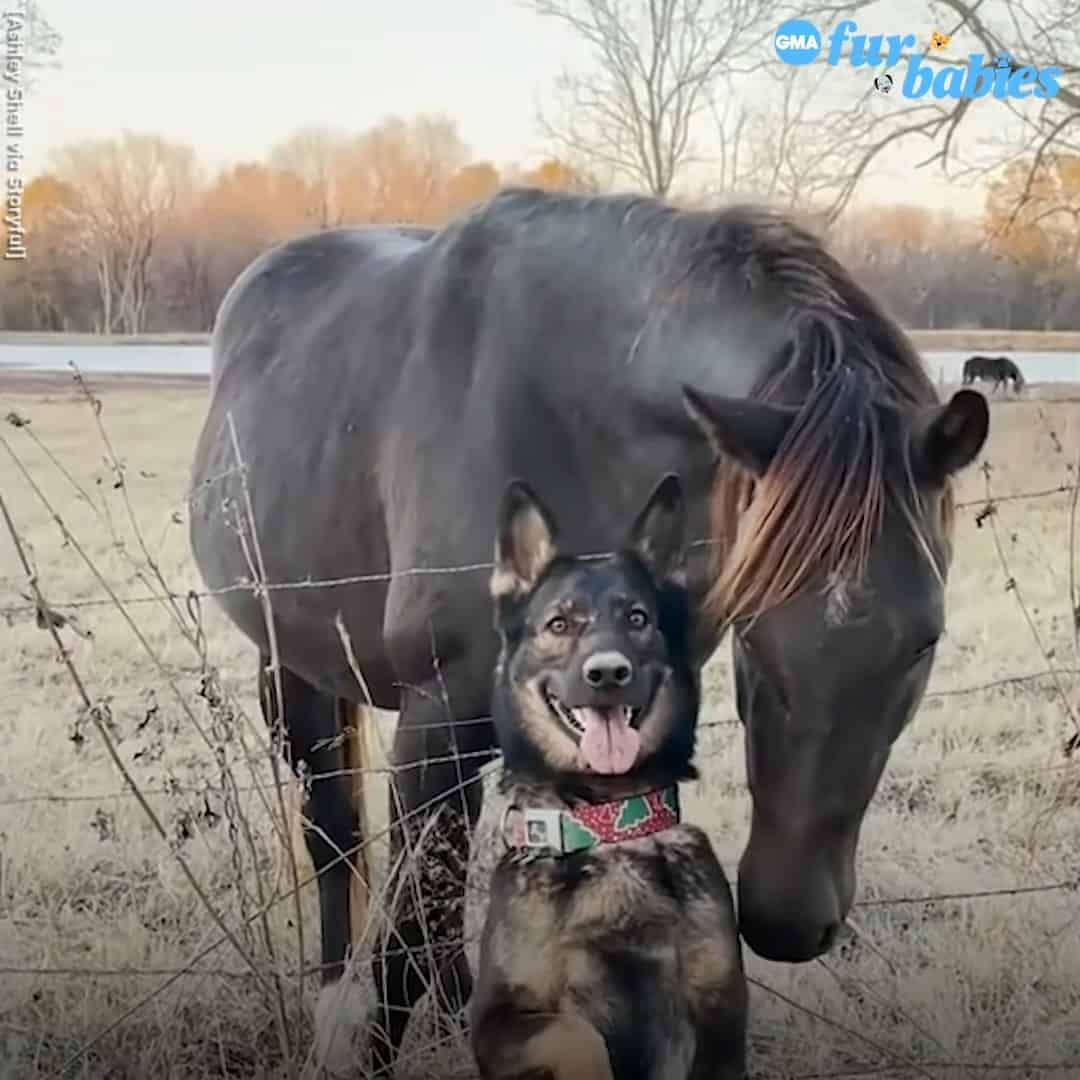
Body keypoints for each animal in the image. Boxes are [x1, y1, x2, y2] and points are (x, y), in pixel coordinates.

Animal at [468, 475, 747, 1080]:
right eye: (559, 624)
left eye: (637, 619)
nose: (608, 673)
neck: (609, 823)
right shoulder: (500, 1020)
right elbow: (578, 1036)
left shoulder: (718, 1016)